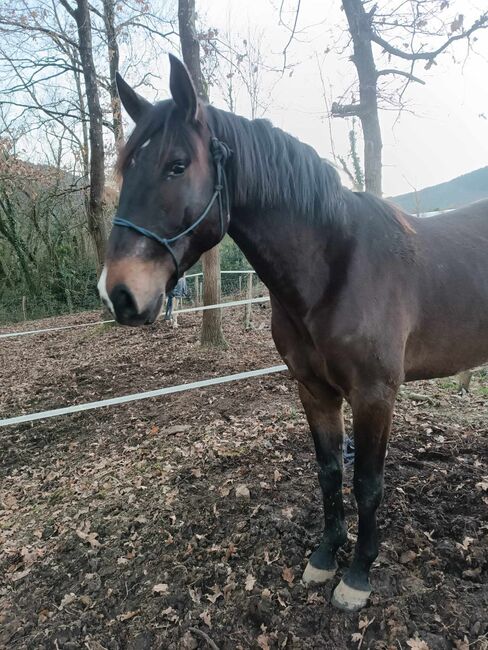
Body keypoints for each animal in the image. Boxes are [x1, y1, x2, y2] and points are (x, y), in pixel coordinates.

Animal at [99, 54, 488, 608]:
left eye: (177, 164)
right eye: (127, 167)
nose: (119, 293)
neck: (335, 267)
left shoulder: (375, 394)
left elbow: (367, 482)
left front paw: (358, 575)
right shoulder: (313, 389)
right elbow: (329, 472)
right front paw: (326, 557)